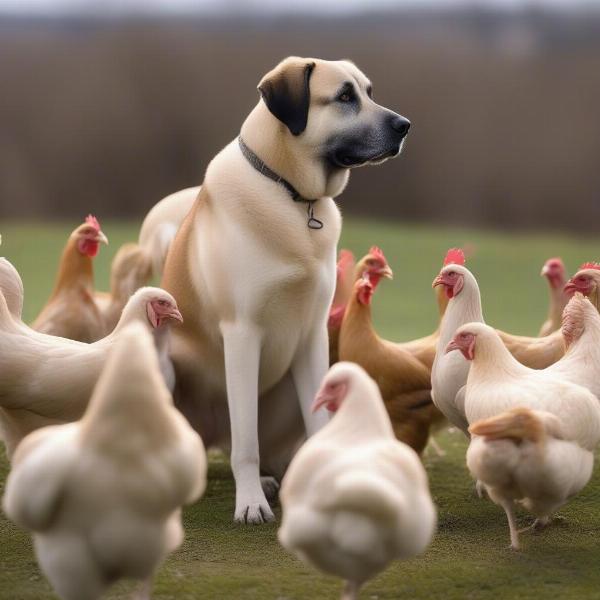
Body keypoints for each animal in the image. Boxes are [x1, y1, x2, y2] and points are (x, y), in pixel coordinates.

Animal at [162, 57, 410, 524]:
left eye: (369, 92)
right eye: (345, 96)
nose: (406, 125)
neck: (292, 197)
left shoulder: (312, 335)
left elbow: (319, 427)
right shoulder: (242, 333)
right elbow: (246, 444)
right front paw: (249, 505)